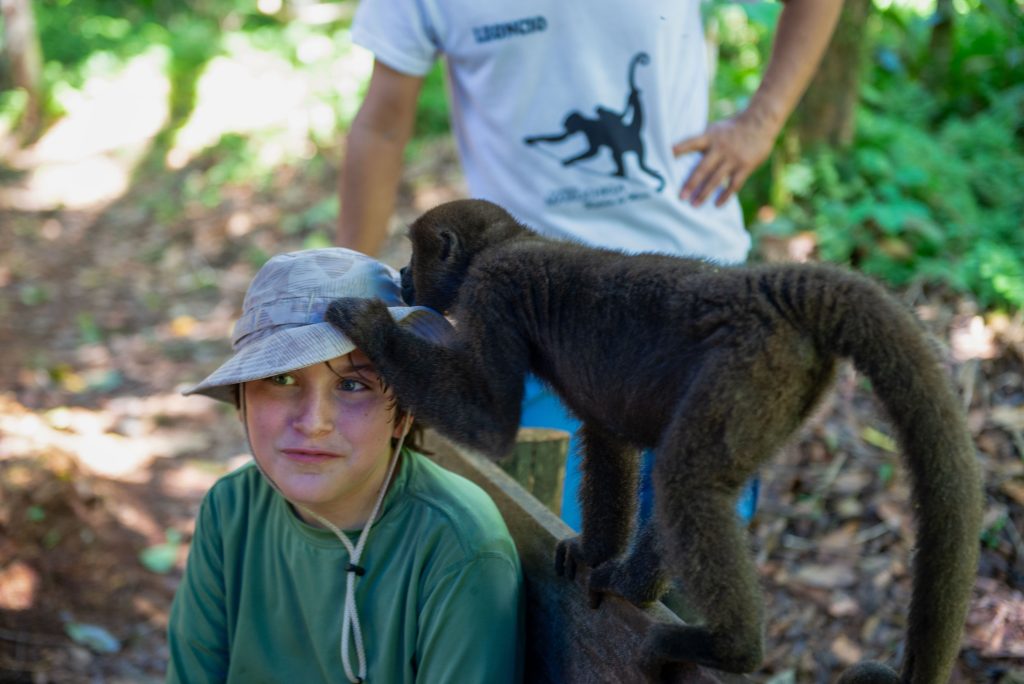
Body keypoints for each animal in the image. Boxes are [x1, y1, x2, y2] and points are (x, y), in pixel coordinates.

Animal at [326, 199, 982, 683]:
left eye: (413, 256)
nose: (402, 276)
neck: (511, 242)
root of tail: (769, 287)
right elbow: (608, 439)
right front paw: (593, 552)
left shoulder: (492, 290)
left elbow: (491, 421)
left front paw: (370, 325)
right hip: (781, 384)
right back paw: (635, 585)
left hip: (748, 365)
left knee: (684, 479)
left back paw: (731, 649)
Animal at [524, 52, 666, 191]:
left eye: (567, 124)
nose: (567, 129)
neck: (586, 122)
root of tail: (632, 131)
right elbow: (562, 138)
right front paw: (532, 140)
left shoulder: (592, 131)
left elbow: (594, 151)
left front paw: (569, 160)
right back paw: (621, 173)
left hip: (635, 145)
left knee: (621, 154)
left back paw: (622, 174)